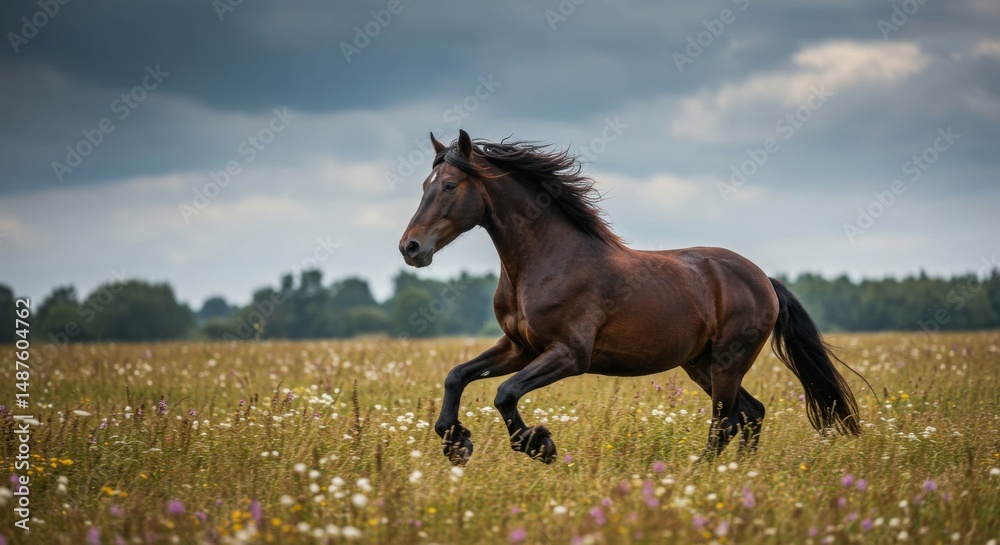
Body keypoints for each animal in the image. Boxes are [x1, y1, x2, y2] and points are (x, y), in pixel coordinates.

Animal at [398, 129, 861, 466]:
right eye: (423, 184)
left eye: (450, 186)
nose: (410, 248)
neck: (545, 261)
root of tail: (763, 279)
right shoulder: (519, 347)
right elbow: (457, 376)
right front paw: (456, 443)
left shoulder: (569, 354)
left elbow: (505, 394)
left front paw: (539, 446)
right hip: (701, 363)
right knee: (751, 414)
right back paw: (736, 472)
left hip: (728, 361)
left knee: (727, 420)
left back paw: (699, 473)